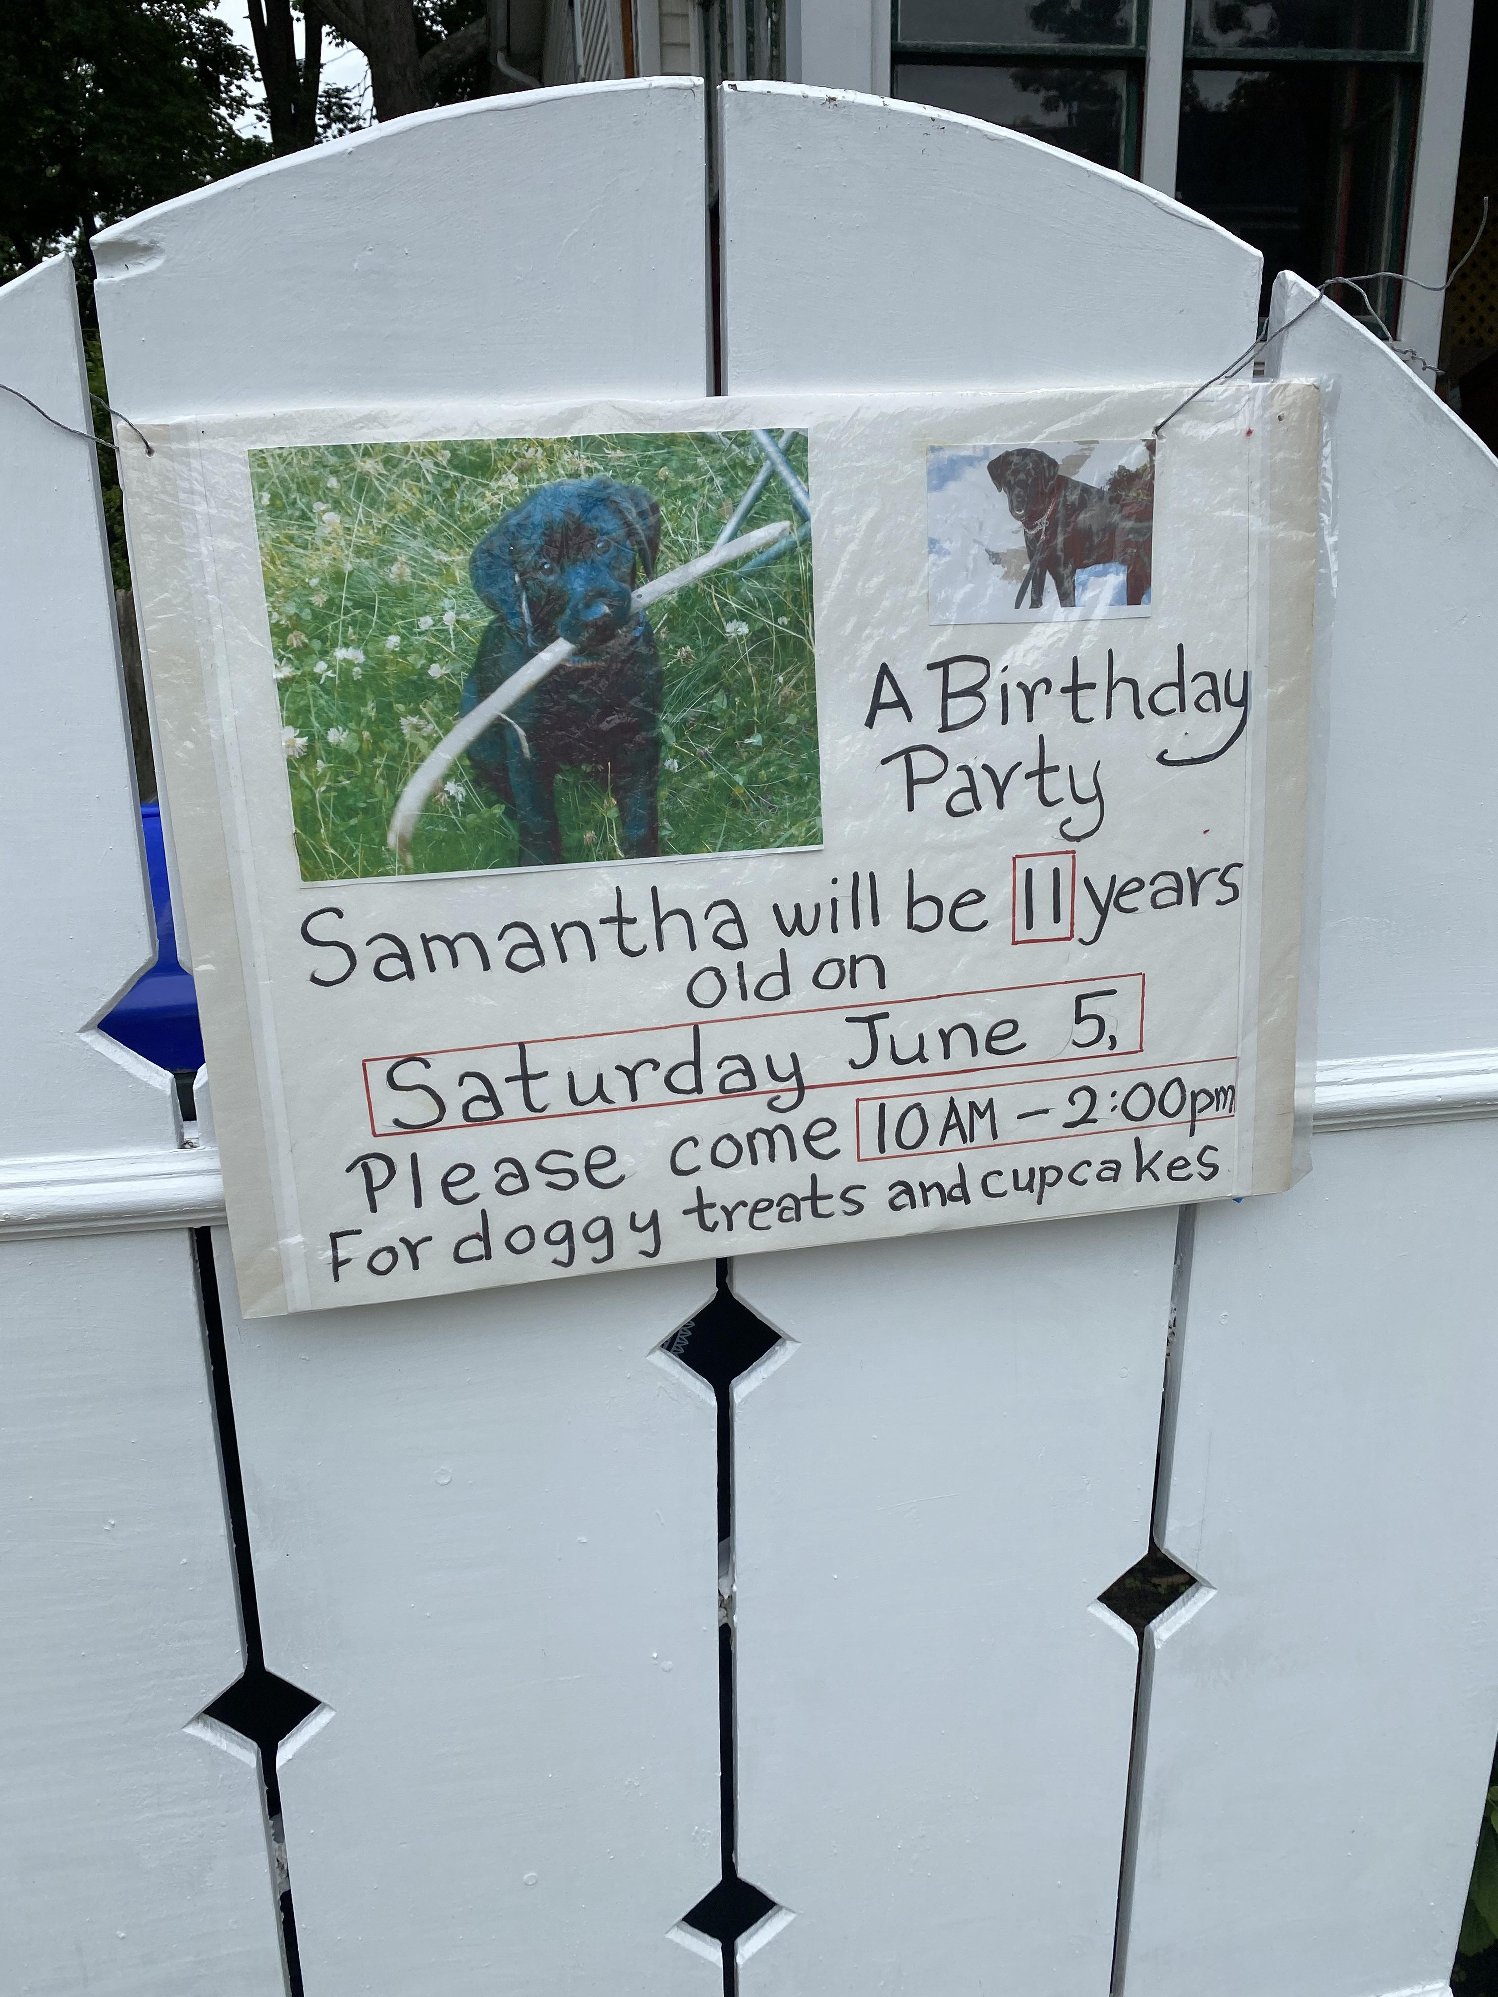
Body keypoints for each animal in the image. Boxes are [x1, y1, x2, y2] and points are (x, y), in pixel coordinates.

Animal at [462, 476, 663, 867]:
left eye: (602, 544)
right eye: (544, 568)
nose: (597, 616)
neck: (588, 675)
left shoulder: (639, 734)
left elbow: (640, 815)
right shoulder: (526, 750)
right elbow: (537, 820)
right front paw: (537, 864)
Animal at [987, 447, 1152, 609]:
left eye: (1033, 474)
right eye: (1009, 473)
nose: (1019, 501)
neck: (1044, 516)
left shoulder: (1063, 572)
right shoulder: (1038, 567)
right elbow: (1035, 598)